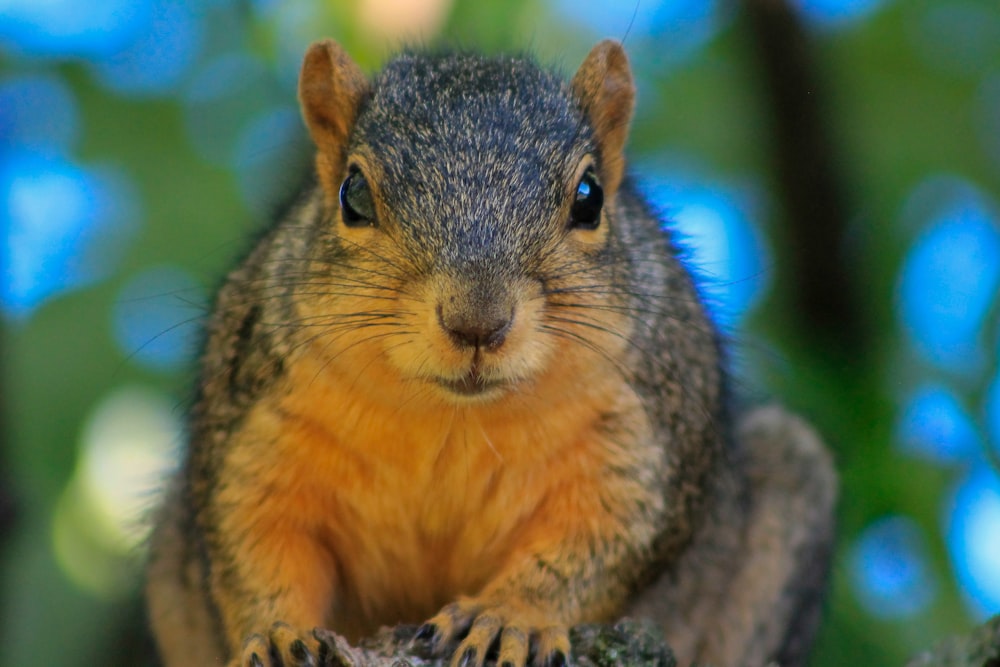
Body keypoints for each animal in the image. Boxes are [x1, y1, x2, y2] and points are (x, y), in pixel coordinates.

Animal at [146, 39, 836, 667]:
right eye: (353, 195)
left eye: (590, 198)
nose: (477, 321)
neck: (450, 417)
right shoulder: (258, 427)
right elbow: (256, 544)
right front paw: (279, 633)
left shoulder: (643, 438)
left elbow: (600, 544)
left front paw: (508, 617)